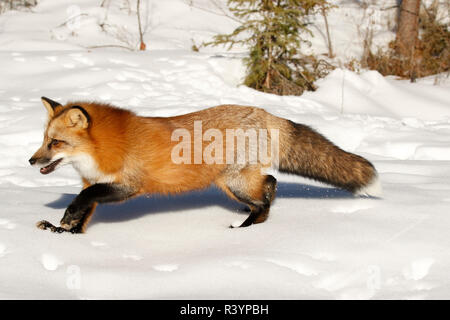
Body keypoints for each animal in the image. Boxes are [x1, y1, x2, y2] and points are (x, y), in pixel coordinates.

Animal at [29, 96, 380, 234]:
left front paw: (65, 221)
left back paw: (247, 227)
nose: (31, 160)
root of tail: (265, 112)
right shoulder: (93, 182)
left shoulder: (127, 185)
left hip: (235, 182)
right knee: (269, 184)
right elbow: (84, 211)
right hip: (235, 182)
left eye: (55, 143)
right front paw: (66, 233)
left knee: (269, 189)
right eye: (44, 139)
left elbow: (82, 201)